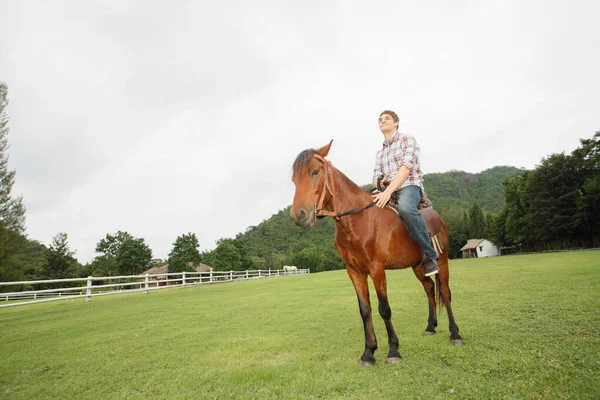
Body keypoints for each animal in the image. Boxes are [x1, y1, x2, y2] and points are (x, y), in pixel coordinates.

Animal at [290, 141, 464, 366]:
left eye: (315, 171)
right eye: (294, 179)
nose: (298, 215)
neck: (358, 220)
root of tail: (437, 216)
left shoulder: (377, 269)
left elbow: (384, 309)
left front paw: (393, 351)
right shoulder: (354, 272)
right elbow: (365, 310)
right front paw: (368, 352)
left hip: (441, 260)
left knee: (445, 292)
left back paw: (455, 334)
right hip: (418, 266)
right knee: (429, 288)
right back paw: (430, 326)